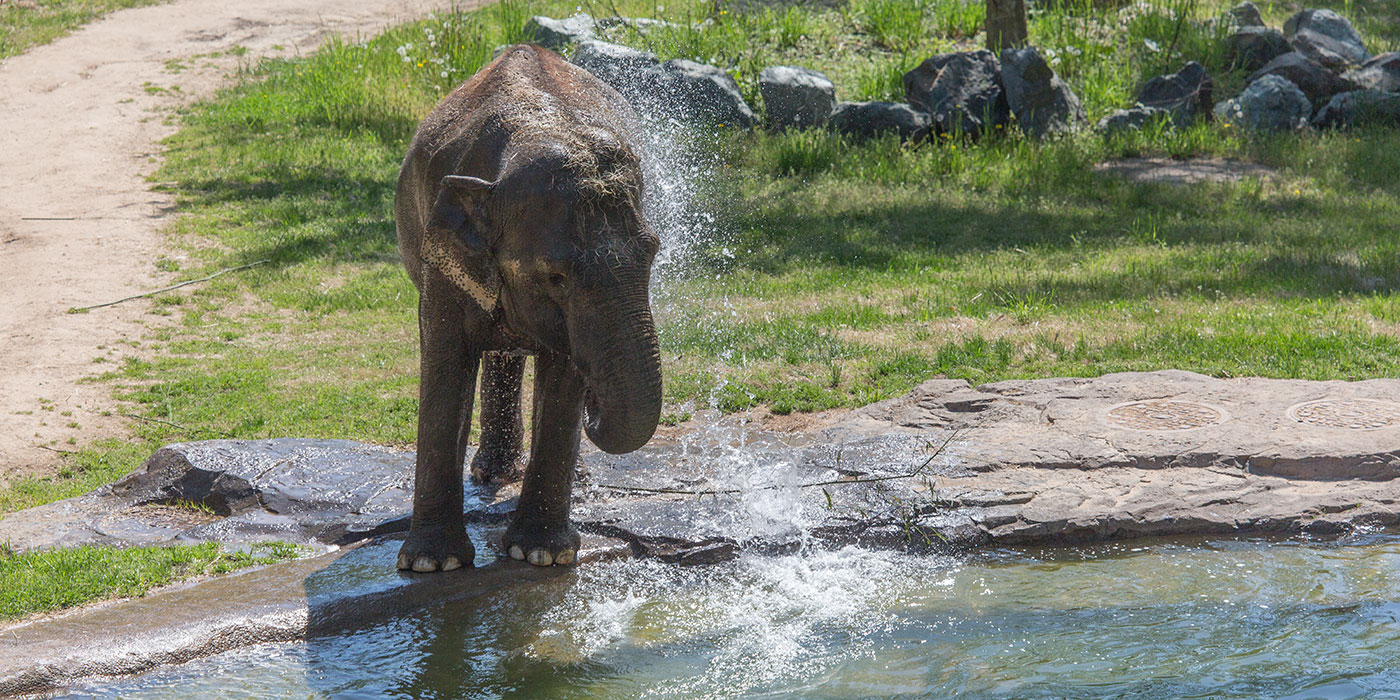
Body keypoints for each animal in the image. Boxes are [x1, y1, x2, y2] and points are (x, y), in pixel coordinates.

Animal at [389, 43, 660, 571]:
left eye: (654, 253)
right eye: (556, 277)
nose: (597, 409)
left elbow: (562, 377)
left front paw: (542, 555)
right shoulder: (443, 254)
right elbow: (446, 366)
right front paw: (433, 563)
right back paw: (493, 476)